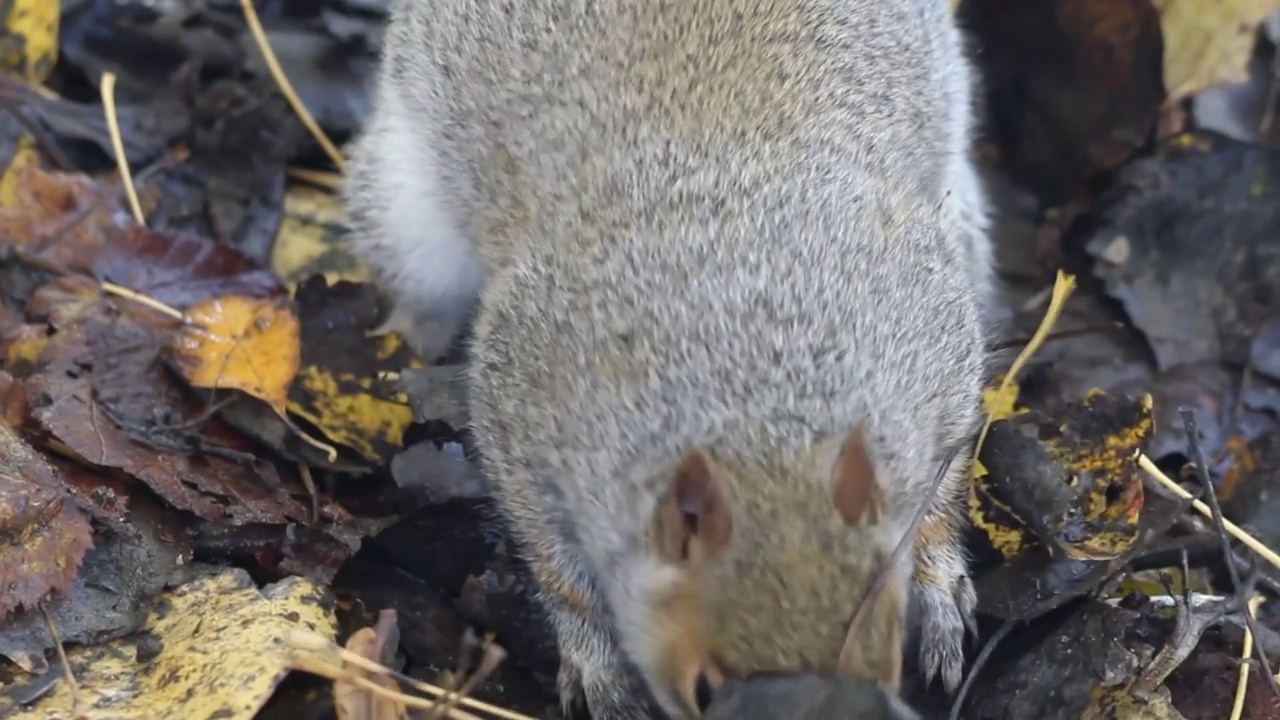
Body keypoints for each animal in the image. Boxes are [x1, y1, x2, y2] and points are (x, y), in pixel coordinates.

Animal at [340, 1, 988, 717]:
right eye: (702, 688)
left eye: (888, 660)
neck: (760, 417)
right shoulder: (522, 403)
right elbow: (555, 563)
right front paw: (596, 664)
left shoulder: (936, 342)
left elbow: (944, 482)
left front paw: (937, 584)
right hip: (403, 212)